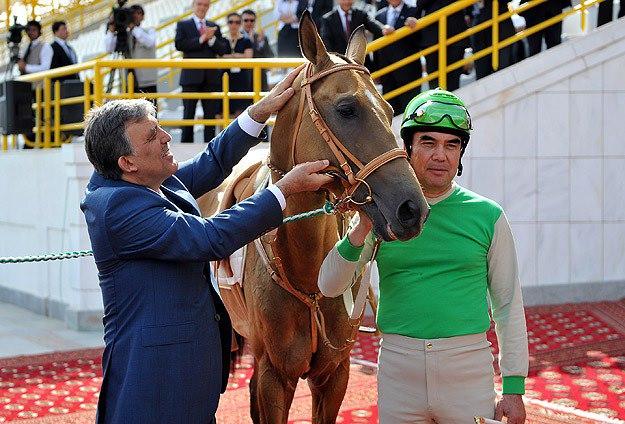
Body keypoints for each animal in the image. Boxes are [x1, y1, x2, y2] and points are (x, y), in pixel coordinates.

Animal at [210, 11, 428, 422]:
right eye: (347, 108)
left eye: (390, 110)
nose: (412, 208)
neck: (308, 273)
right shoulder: (275, 376)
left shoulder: (334, 372)